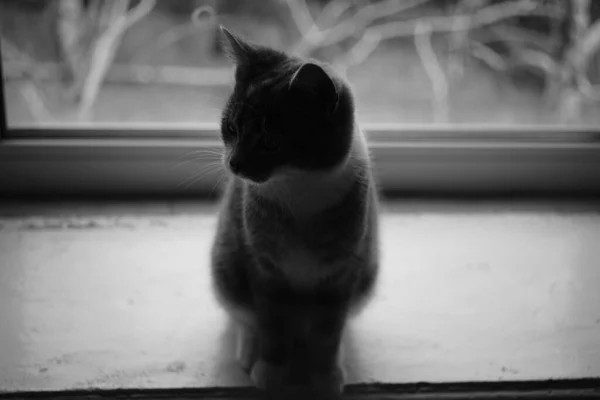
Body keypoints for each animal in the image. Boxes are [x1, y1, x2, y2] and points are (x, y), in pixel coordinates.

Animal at [211, 26, 380, 398]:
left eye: (271, 141)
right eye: (231, 128)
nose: (234, 164)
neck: (300, 185)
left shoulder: (342, 271)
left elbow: (329, 331)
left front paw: (326, 374)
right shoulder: (264, 267)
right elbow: (271, 323)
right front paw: (271, 370)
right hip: (226, 265)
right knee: (245, 317)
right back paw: (249, 349)